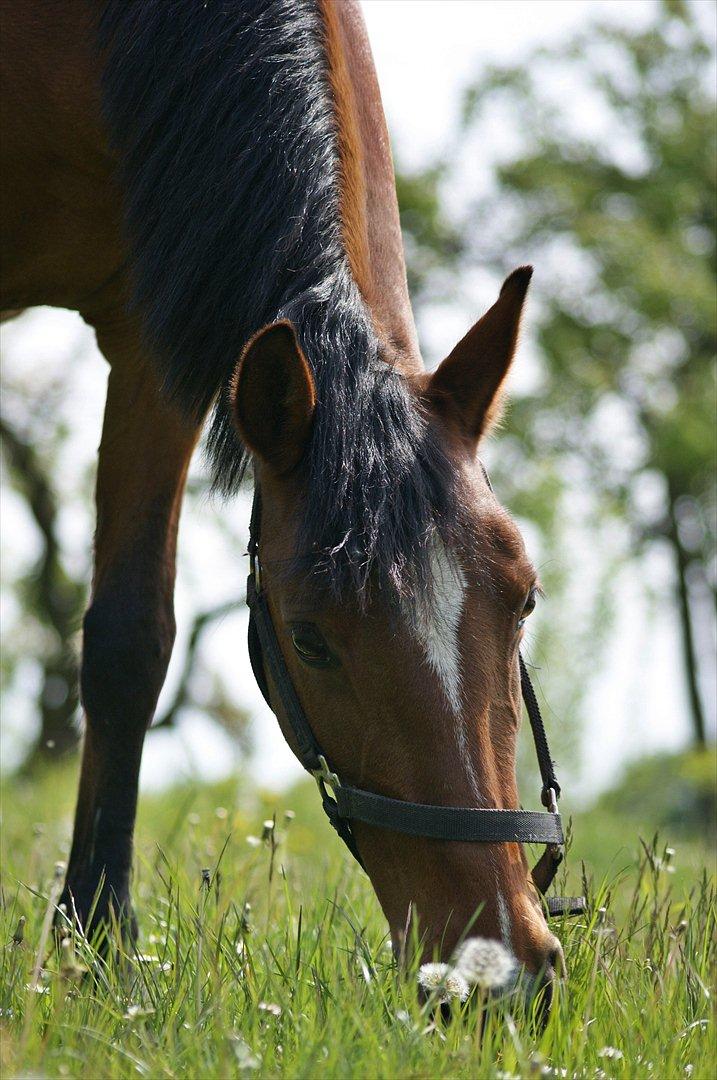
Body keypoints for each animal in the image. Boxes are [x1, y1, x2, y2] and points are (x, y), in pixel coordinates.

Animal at [2, 0, 570, 993]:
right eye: (308, 638)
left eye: (525, 599)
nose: (495, 971)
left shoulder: (156, 332)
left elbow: (129, 643)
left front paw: (98, 953)